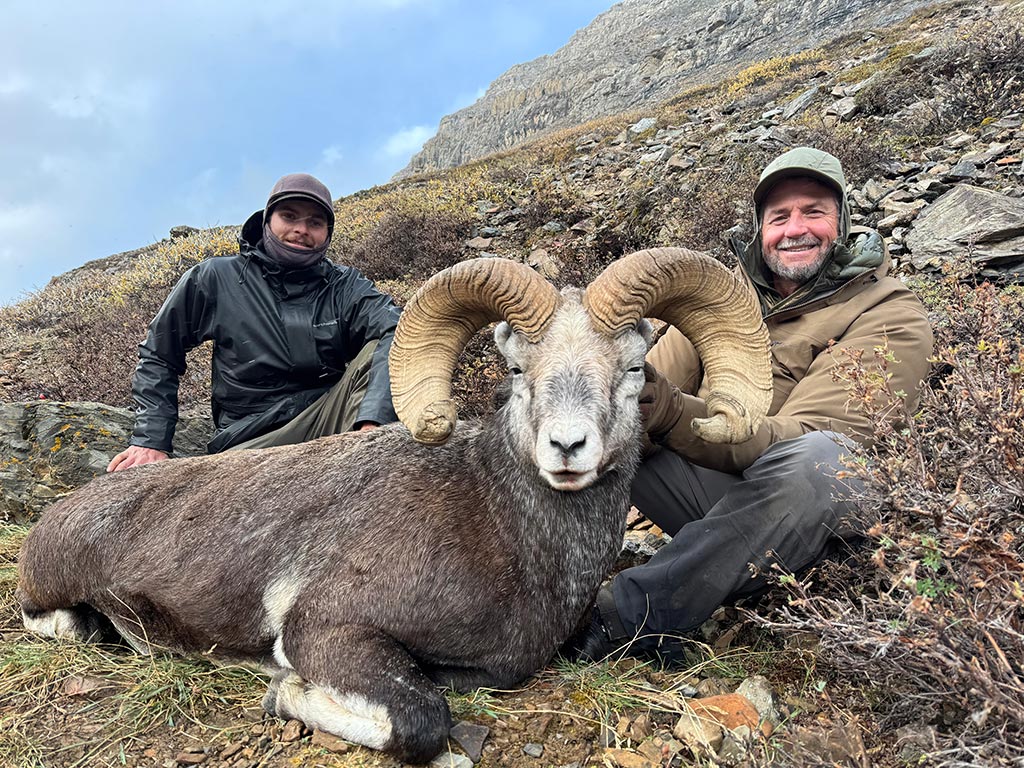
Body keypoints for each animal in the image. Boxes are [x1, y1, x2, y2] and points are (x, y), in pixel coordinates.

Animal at [17, 249, 771, 764]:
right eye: (518, 369)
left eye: (634, 369)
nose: (567, 447)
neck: (503, 528)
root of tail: (60, 516)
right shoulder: (332, 632)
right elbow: (420, 722)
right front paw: (280, 692)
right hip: (53, 604)